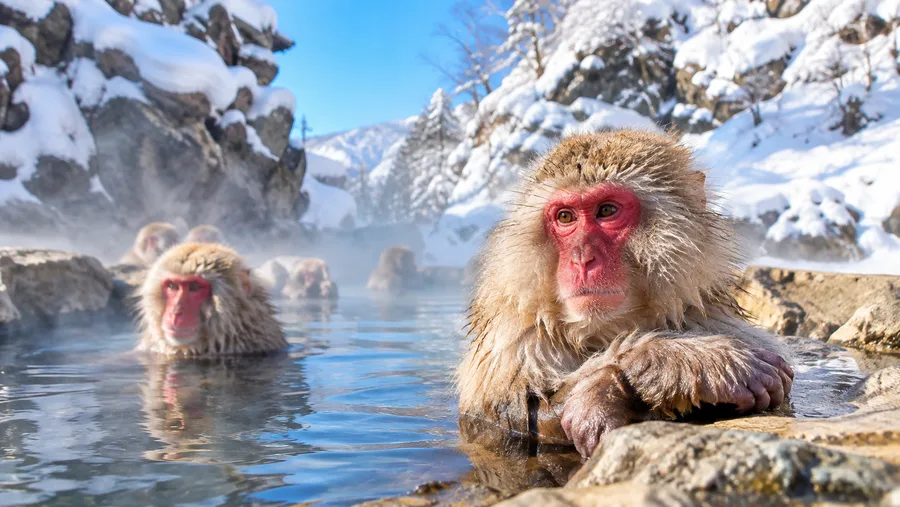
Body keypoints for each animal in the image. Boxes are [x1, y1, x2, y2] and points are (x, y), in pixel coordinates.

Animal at [457, 130, 794, 458]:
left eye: (607, 211)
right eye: (565, 217)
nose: (582, 258)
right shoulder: (514, 338)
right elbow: (514, 414)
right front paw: (697, 361)